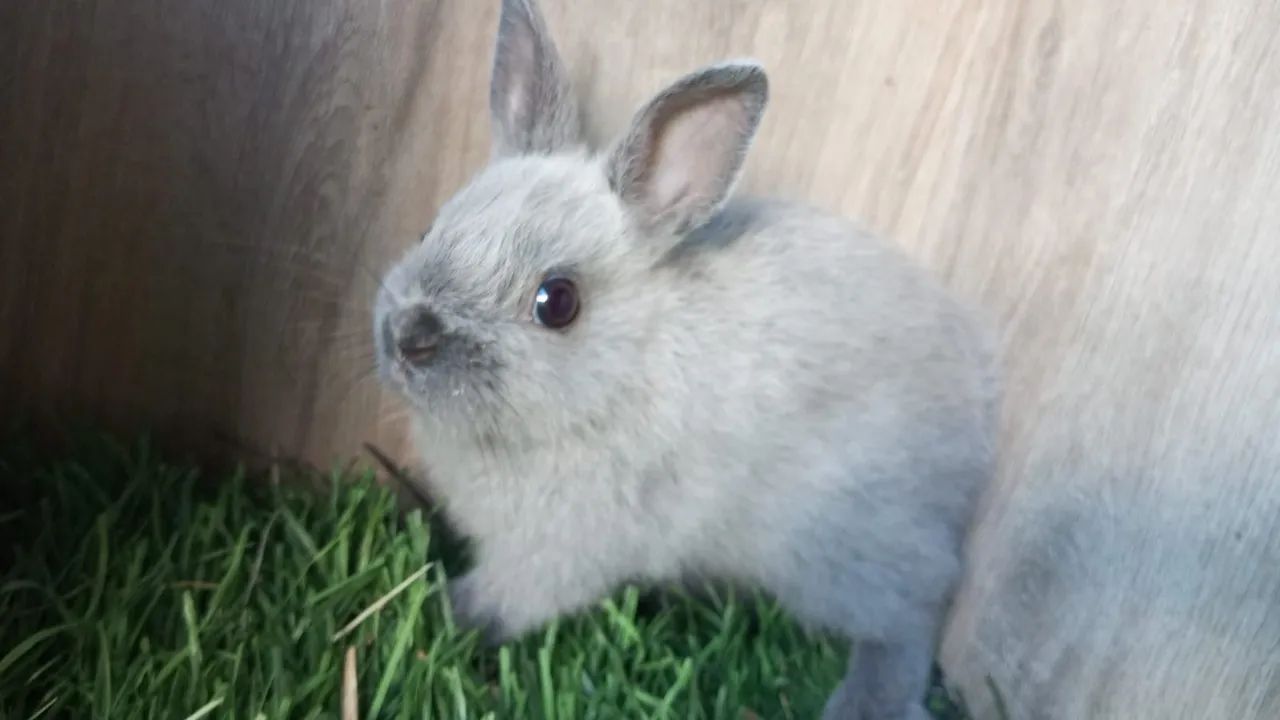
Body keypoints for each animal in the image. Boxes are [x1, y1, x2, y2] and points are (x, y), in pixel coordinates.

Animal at [373, 1, 1000, 718]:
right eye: (430, 228)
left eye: (557, 302)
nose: (410, 337)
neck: (617, 376)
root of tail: (978, 399)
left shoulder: (558, 553)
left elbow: (504, 599)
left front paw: (443, 610)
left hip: (843, 549)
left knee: (912, 615)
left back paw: (862, 699)